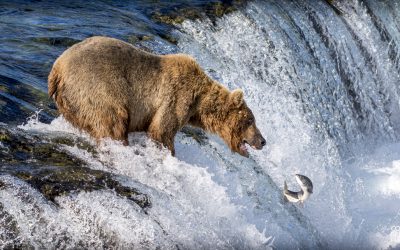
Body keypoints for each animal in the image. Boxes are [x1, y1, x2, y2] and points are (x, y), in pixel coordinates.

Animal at [47, 35, 266, 156]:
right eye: (250, 120)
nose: (263, 140)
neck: (199, 104)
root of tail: (56, 69)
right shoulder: (176, 98)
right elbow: (162, 131)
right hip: (97, 87)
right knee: (113, 122)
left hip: (72, 101)